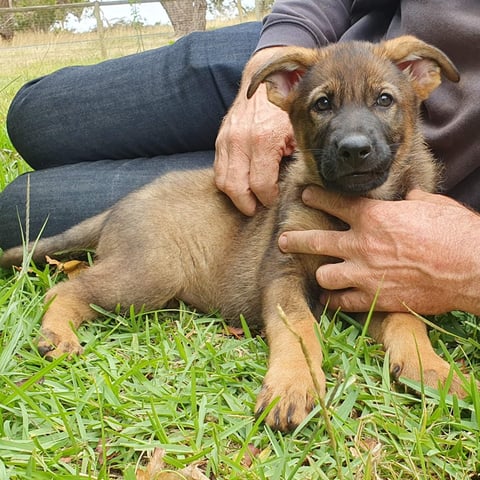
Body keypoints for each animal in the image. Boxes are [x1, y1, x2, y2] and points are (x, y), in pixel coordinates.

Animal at [0, 35, 464, 430]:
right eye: (322, 104)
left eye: (384, 99)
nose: (354, 149)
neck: (352, 208)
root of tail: (117, 206)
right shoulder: (281, 274)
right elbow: (299, 328)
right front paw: (293, 384)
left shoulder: (374, 280)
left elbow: (406, 319)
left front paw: (432, 368)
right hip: (151, 273)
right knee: (65, 288)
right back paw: (57, 334)